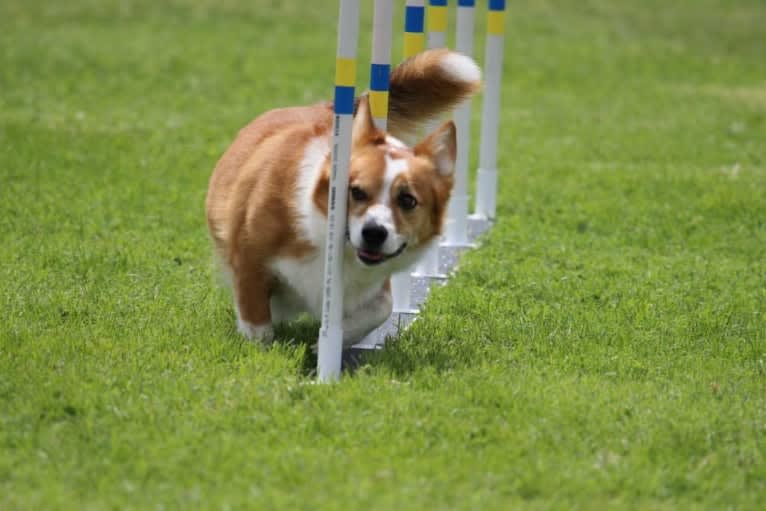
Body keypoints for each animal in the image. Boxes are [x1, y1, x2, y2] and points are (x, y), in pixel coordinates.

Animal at [204, 49, 480, 348]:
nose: (374, 234)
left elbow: (383, 308)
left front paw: (327, 343)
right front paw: (264, 349)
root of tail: (323, 106)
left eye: (407, 200)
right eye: (356, 191)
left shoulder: (375, 283)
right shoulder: (249, 258)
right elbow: (256, 323)